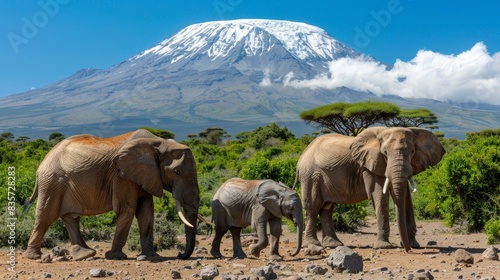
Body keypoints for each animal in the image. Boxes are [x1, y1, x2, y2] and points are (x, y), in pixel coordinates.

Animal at [23, 129, 199, 260]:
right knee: (46, 215)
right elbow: (127, 209)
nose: (180, 254)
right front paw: (115, 256)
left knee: (70, 218)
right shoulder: (120, 174)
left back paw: (85, 254)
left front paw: (151, 256)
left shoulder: (144, 175)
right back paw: (34, 256)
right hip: (52, 182)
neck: (158, 142)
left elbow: (146, 211)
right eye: (176, 172)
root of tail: (43, 161)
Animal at [294, 127, 444, 252]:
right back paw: (313, 245)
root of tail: (302, 155)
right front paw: (384, 246)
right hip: (311, 175)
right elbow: (378, 195)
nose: (408, 250)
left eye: (412, 152)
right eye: (384, 153)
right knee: (312, 208)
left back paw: (333, 245)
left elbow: (406, 197)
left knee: (327, 209)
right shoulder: (369, 165)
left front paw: (414, 244)